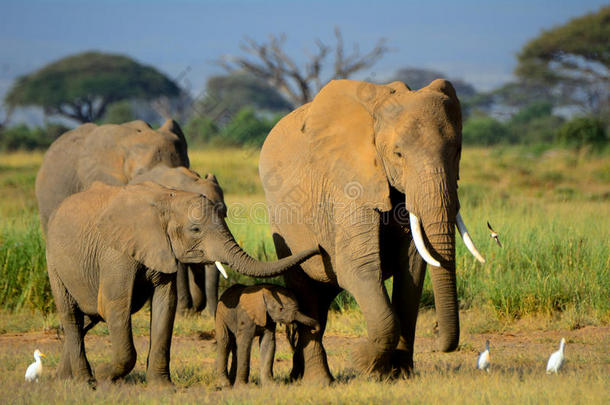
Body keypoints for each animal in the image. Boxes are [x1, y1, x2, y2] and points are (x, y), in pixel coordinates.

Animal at [47, 181, 318, 384]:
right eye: (195, 230)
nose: (318, 248)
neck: (168, 197)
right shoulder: (116, 253)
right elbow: (116, 305)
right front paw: (104, 375)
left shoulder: (162, 248)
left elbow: (165, 304)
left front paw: (162, 387)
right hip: (53, 262)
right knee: (71, 316)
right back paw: (85, 380)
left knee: (84, 320)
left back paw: (64, 378)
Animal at [258, 78, 484, 382]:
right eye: (398, 154)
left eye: (457, 151)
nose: (437, 331)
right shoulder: (349, 185)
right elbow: (358, 267)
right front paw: (363, 363)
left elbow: (412, 271)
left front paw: (399, 375)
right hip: (283, 227)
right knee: (304, 290)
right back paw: (319, 382)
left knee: (321, 301)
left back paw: (299, 376)